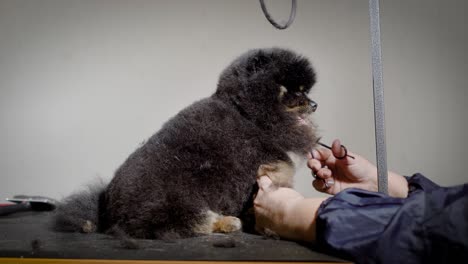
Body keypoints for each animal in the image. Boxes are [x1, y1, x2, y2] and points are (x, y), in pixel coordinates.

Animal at [54, 47, 318, 239]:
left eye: (305, 91)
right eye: (295, 91)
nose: (314, 104)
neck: (244, 113)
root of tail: (106, 216)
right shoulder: (259, 154)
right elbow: (282, 168)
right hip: (176, 201)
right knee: (182, 224)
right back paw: (227, 222)